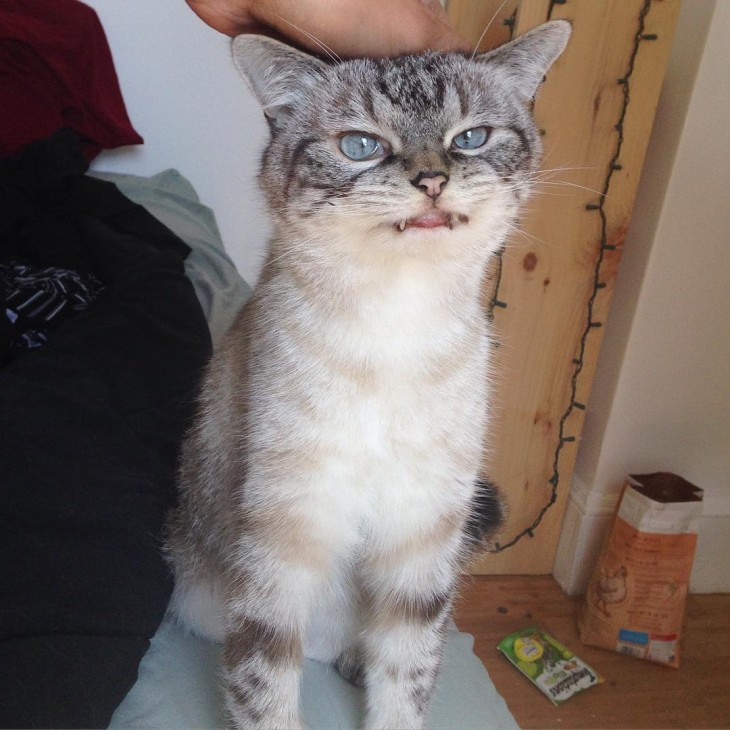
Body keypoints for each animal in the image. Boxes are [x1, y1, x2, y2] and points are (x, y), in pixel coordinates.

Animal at [165, 18, 568, 728]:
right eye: (361, 146)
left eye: (470, 137)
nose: (433, 181)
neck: (395, 325)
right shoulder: (282, 536)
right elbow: (263, 686)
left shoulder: (424, 535)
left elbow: (406, 678)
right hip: (197, 597)